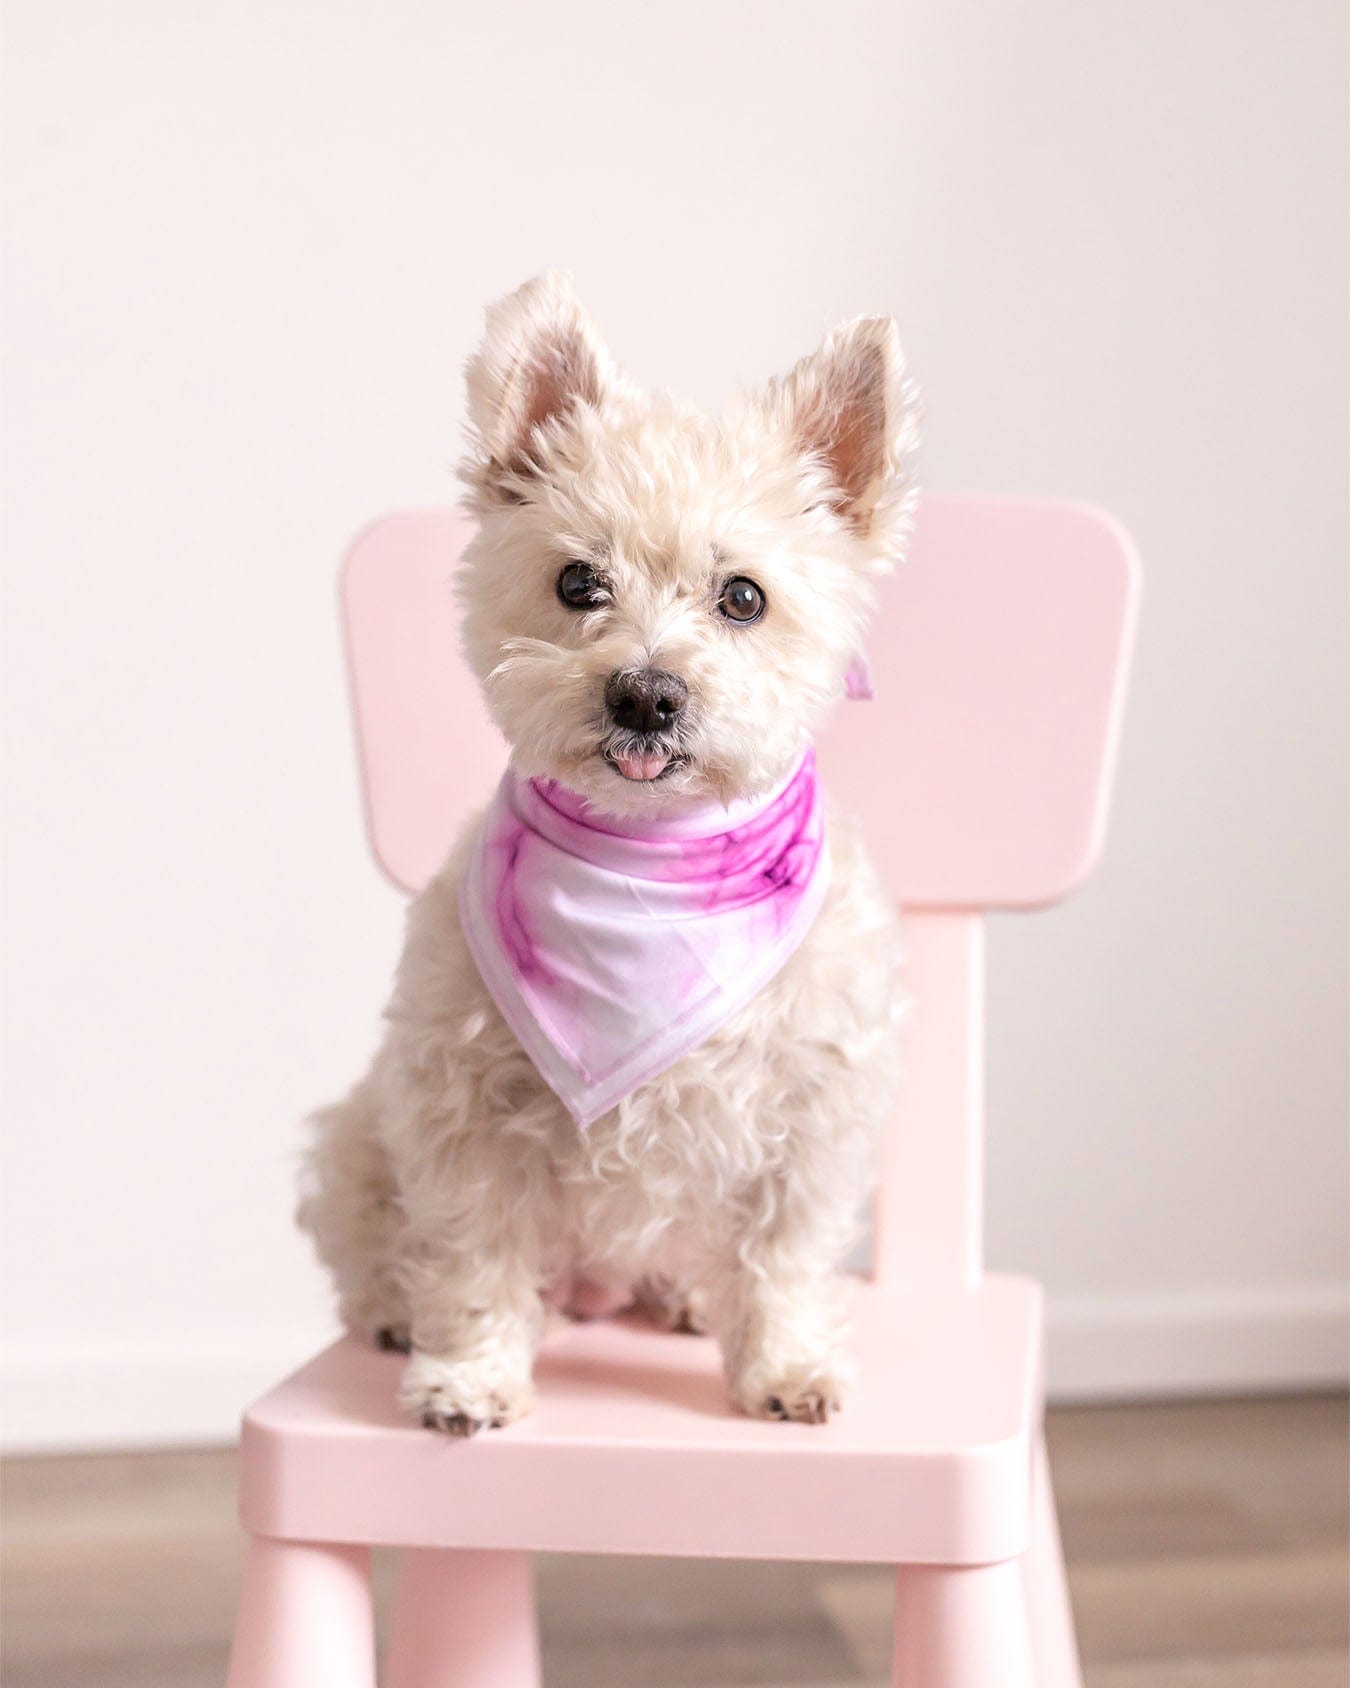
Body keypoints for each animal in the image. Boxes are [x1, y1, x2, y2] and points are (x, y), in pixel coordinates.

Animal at [300, 270, 924, 1431]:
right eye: (578, 582)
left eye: (743, 596)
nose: (644, 692)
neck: (647, 868)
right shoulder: (460, 1109)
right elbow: (474, 1254)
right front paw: (469, 1374)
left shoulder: (812, 1117)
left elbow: (783, 1256)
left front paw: (785, 1366)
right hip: (360, 1132)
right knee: (377, 1244)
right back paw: (399, 1312)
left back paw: (683, 1297)